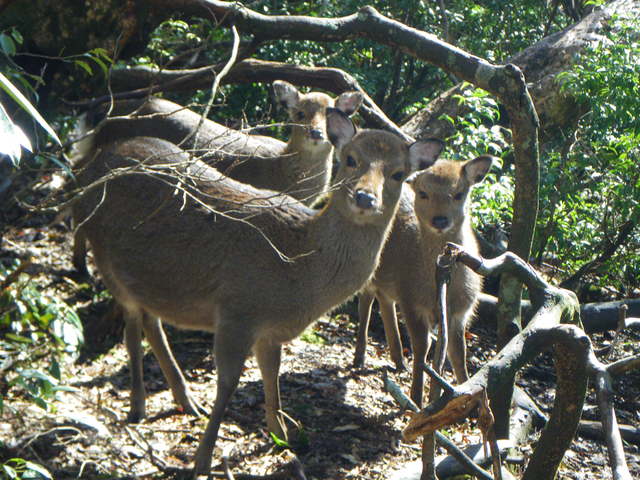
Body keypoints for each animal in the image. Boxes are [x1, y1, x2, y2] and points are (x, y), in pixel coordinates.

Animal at [69, 109, 440, 476]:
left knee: (150, 320)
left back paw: (185, 400)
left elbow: (271, 376)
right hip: (104, 254)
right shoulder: (237, 312)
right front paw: (202, 460)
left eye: (398, 174)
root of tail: (93, 162)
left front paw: (284, 435)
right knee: (132, 327)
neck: (300, 270)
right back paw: (139, 406)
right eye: (350, 159)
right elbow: (228, 383)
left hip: (146, 278)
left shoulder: (270, 332)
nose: (364, 197)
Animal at [72, 82, 362, 276]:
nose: (316, 133)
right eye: (300, 113)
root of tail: (101, 116)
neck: (280, 170)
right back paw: (81, 265)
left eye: (330, 113)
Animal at [350, 154, 496, 404]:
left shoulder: (459, 312)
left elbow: (458, 353)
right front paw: (416, 400)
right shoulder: (412, 301)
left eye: (459, 193)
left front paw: (468, 398)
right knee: (367, 302)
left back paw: (399, 361)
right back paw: (360, 358)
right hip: (368, 269)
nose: (440, 220)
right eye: (423, 193)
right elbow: (422, 347)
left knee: (385, 301)